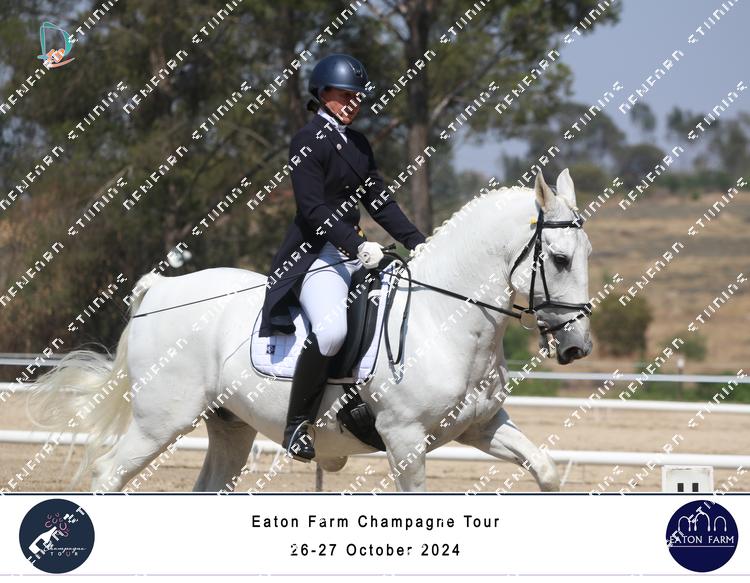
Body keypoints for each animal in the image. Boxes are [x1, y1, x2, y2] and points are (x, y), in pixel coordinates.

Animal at [28, 169, 592, 492]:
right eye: (560, 259)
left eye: (587, 254)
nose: (577, 347)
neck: (444, 318)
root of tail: (161, 289)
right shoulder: (405, 441)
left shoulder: (481, 425)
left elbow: (545, 470)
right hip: (159, 422)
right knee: (107, 473)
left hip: (228, 426)